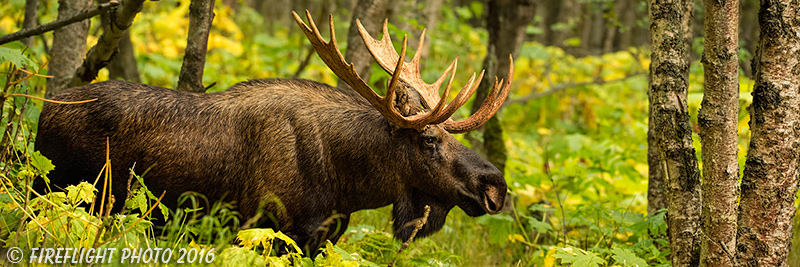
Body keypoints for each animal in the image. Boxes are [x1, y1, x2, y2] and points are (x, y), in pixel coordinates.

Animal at [34, 11, 512, 255]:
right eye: (430, 139)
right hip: (57, 187)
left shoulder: (323, 235)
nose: (496, 186)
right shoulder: (278, 230)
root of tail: (41, 112)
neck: (349, 184)